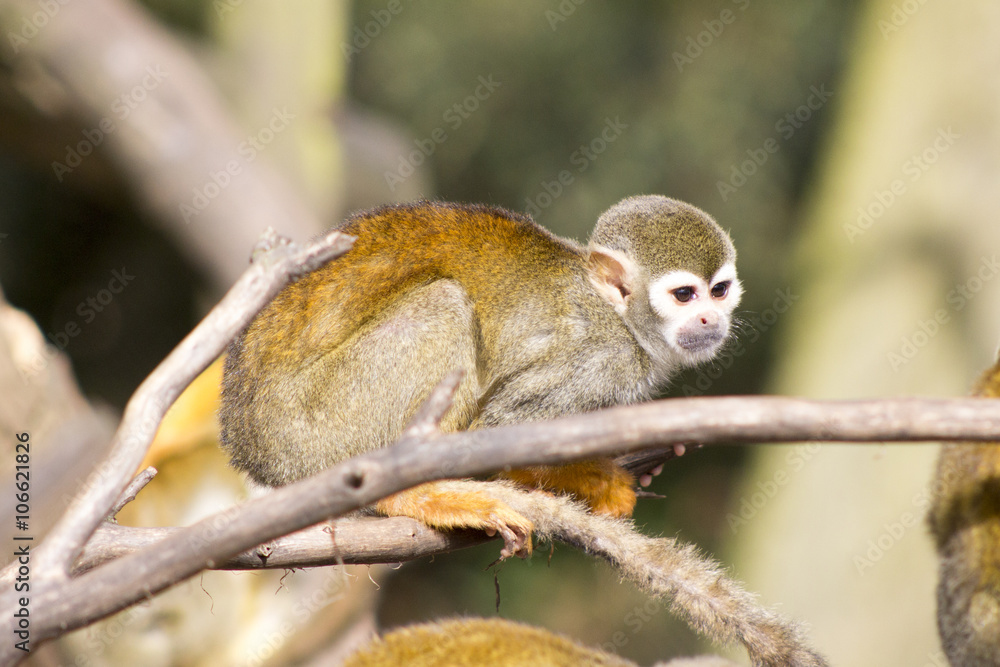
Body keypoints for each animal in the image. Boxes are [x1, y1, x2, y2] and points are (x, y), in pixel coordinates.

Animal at [220, 195, 741, 557]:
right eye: (684, 295)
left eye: (719, 290)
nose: (709, 320)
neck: (619, 317)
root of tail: (247, 445)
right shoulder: (596, 360)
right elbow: (500, 427)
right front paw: (590, 477)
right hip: (316, 427)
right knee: (445, 303)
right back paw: (413, 489)